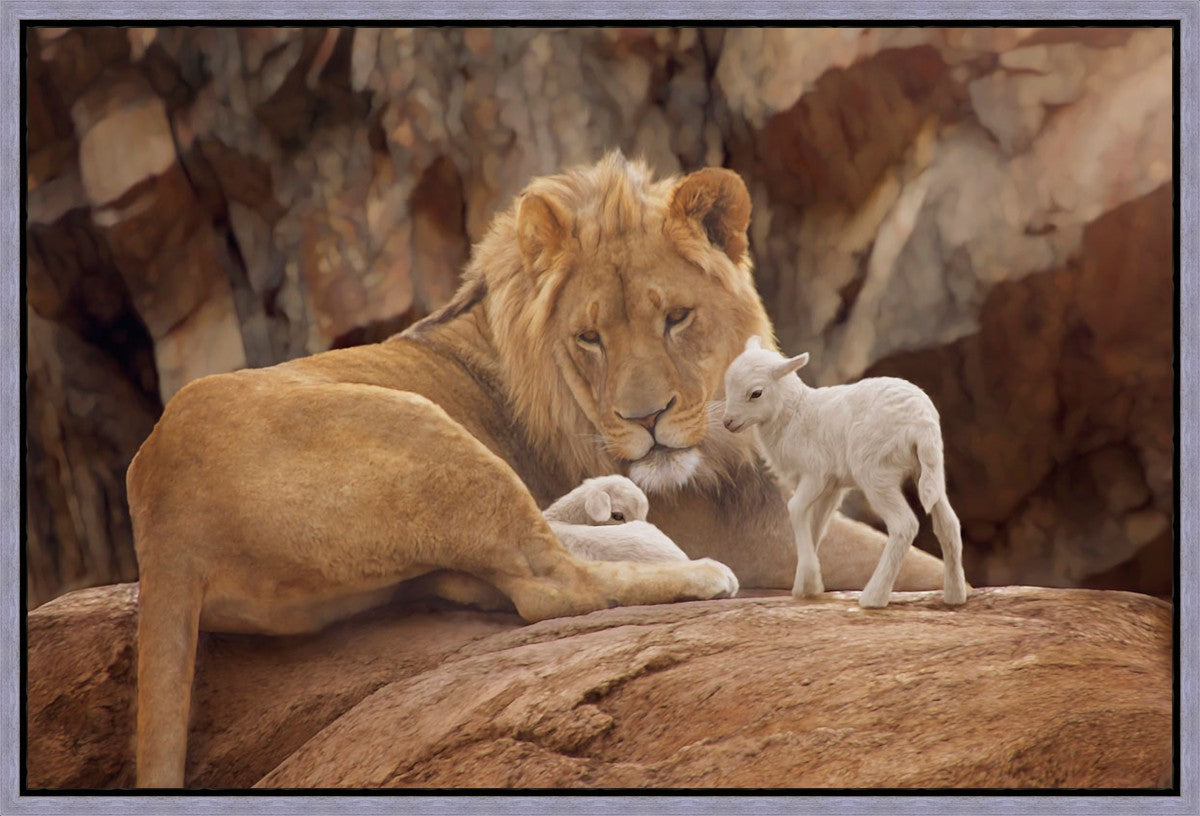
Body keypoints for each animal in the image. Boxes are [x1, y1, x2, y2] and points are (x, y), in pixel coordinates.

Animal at [721, 336, 968, 609]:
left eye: (756, 393)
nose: (727, 422)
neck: (794, 414)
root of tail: (922, 422)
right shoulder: (832, 486)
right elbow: (816, 525)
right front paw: (807, 585)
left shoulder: (816, 473)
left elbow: (795, 509)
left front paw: (809, 580)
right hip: (929, 469)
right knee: (949, 524)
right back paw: (955, 595)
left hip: (875, 471)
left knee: (904, 525)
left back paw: (873, 597)